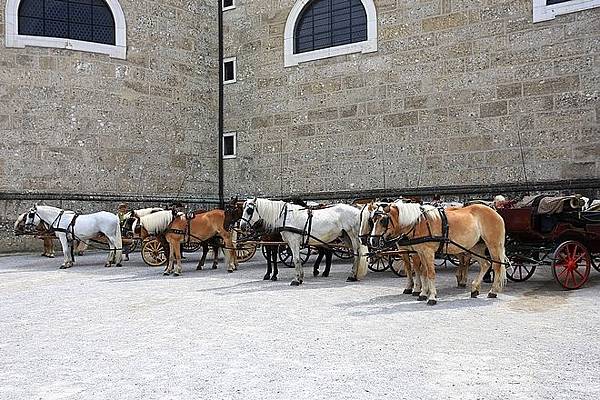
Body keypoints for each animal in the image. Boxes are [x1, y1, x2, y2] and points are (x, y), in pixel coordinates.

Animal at [240, 197, 370, 284]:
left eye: (249, 210)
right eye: (242, 209)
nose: (242, 226)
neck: (286, 216)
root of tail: (358, 211)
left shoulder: (293, 242)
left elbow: (296, 259)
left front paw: (296, 279)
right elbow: (294, 258)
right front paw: (300, 277)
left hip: (353, 236)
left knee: (357, 253)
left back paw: (352, 276)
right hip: (345, 236)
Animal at [370, 203, 506, 306]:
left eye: (383, 220)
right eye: (372, 220)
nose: (373, 241)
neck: (419, 223)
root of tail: (495, 212)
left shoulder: (428, 252)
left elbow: (430, 273)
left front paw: (431, 297)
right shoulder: (420, 252)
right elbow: (423, 272)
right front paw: (423, 293)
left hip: (493, 245)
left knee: (497, 266)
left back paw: (493, 291)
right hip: (475, 247)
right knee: (485, 264)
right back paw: (474, 288)